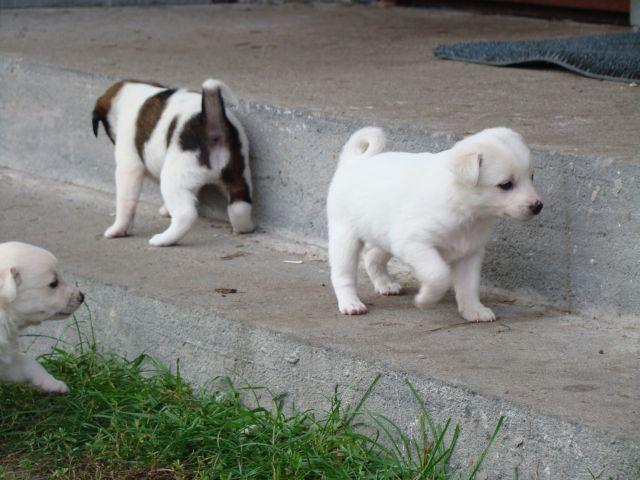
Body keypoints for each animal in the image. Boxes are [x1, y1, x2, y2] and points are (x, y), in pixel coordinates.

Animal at [92, 78, 252, 248]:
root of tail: (211, 122)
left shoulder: (128, 168)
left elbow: (125, 203)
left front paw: (118, 229)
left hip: (172, 178)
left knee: (186, 215)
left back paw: (163, 239)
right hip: (237, 173)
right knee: (240, 206)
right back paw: (244, 227)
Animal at [328, 127, 544, 322]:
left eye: (532, 176)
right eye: (506, 184)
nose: (538, 206)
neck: (465, 209)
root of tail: (353, 162)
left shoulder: (470, 253)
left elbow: (469, 286)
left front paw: (473, 310)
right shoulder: (415, 244)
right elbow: (439, 275)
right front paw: (425, 299)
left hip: (383, 235)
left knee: (372, 257)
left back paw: (385, 284)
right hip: (345, 238)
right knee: (342, 275)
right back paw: (350, 303)